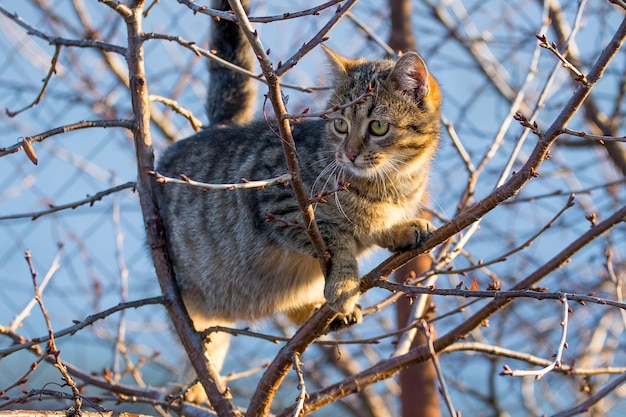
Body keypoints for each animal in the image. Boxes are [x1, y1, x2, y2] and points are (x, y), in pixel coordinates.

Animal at [154, 0, 442, 380]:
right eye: (340, 124)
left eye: (378, 127)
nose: (349, 153)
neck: (391, 183)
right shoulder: (282, 206)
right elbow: (338, 237)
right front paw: (344, 284)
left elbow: (370, 230)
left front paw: (401, 229)